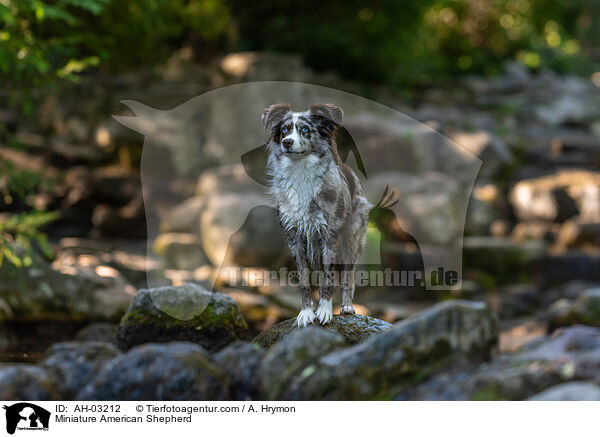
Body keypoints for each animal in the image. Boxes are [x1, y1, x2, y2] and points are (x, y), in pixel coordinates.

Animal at [262, 103, 370, 328]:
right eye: (284, 130)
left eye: (305, 129)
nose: (287, 142)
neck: (301, 171)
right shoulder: (295, 239)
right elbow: (304, 280)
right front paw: (305, 312)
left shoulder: (329, 237)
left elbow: (328, 279)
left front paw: (325, 311)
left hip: (350, 240)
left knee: (348, 274)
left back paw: (347, 306)